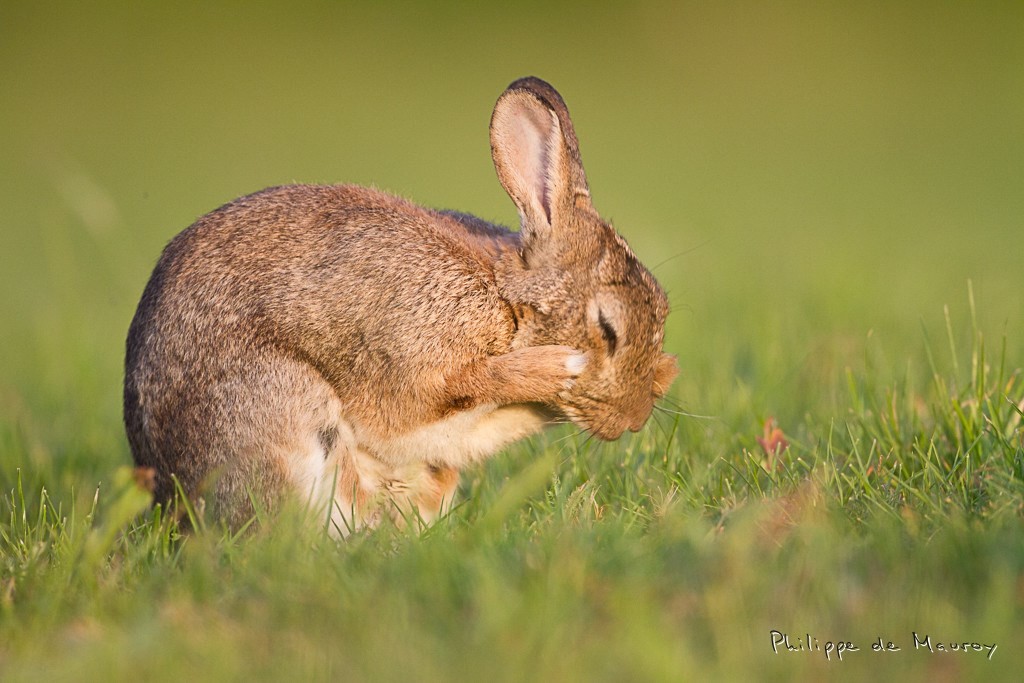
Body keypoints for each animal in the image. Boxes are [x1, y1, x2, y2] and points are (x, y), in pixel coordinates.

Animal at [123, 77, 679, 534]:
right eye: (607, 328)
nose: (632, 420)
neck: (506, 302)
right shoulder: (417, 368)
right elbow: (460, 387)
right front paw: (556, 368)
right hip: (280, 412)